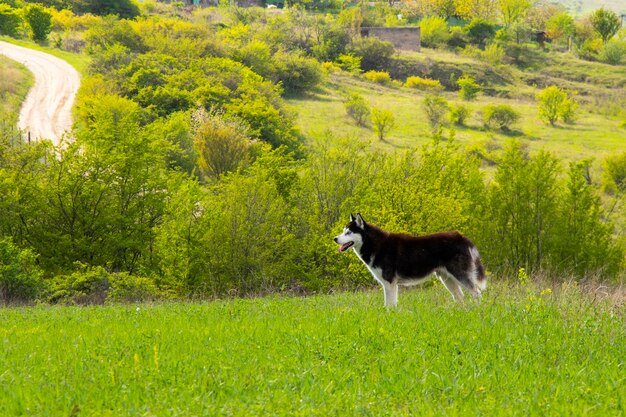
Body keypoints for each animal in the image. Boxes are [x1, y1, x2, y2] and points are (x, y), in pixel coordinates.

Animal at [334, 214, 486, 306]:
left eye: (348, 232)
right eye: (343, 231)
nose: (335, 238)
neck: (374, 244)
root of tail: (461, 236)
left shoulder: (390, 283)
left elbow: (389, 305)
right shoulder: (389, 284)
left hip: (460, 274)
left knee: (476, 293)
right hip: (447, 278)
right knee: (460, 297)